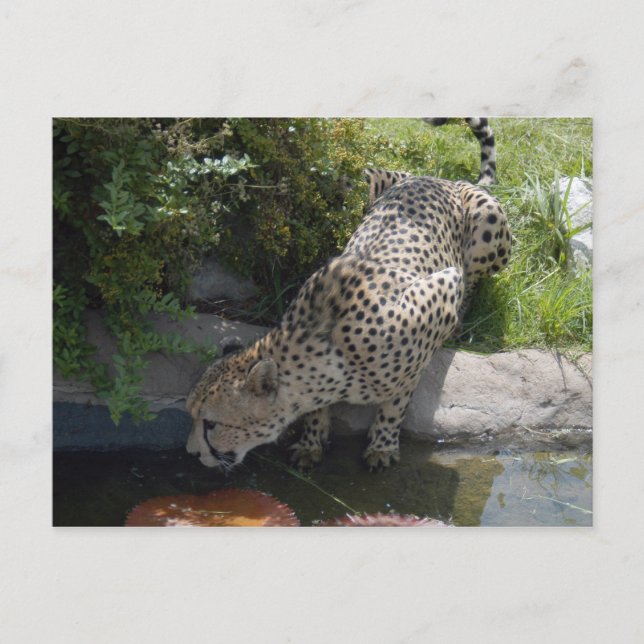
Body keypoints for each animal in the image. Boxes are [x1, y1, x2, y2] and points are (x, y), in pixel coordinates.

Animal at [186, 120, 511, 472]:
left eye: (212, 423)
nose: (191, 452)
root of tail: (443, 179)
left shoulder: (442, 288)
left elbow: (399, 396)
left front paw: (382, 445)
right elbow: (315, 413)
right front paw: (311, 442)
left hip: (488, 226)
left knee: (474, 279)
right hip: (367, 178)